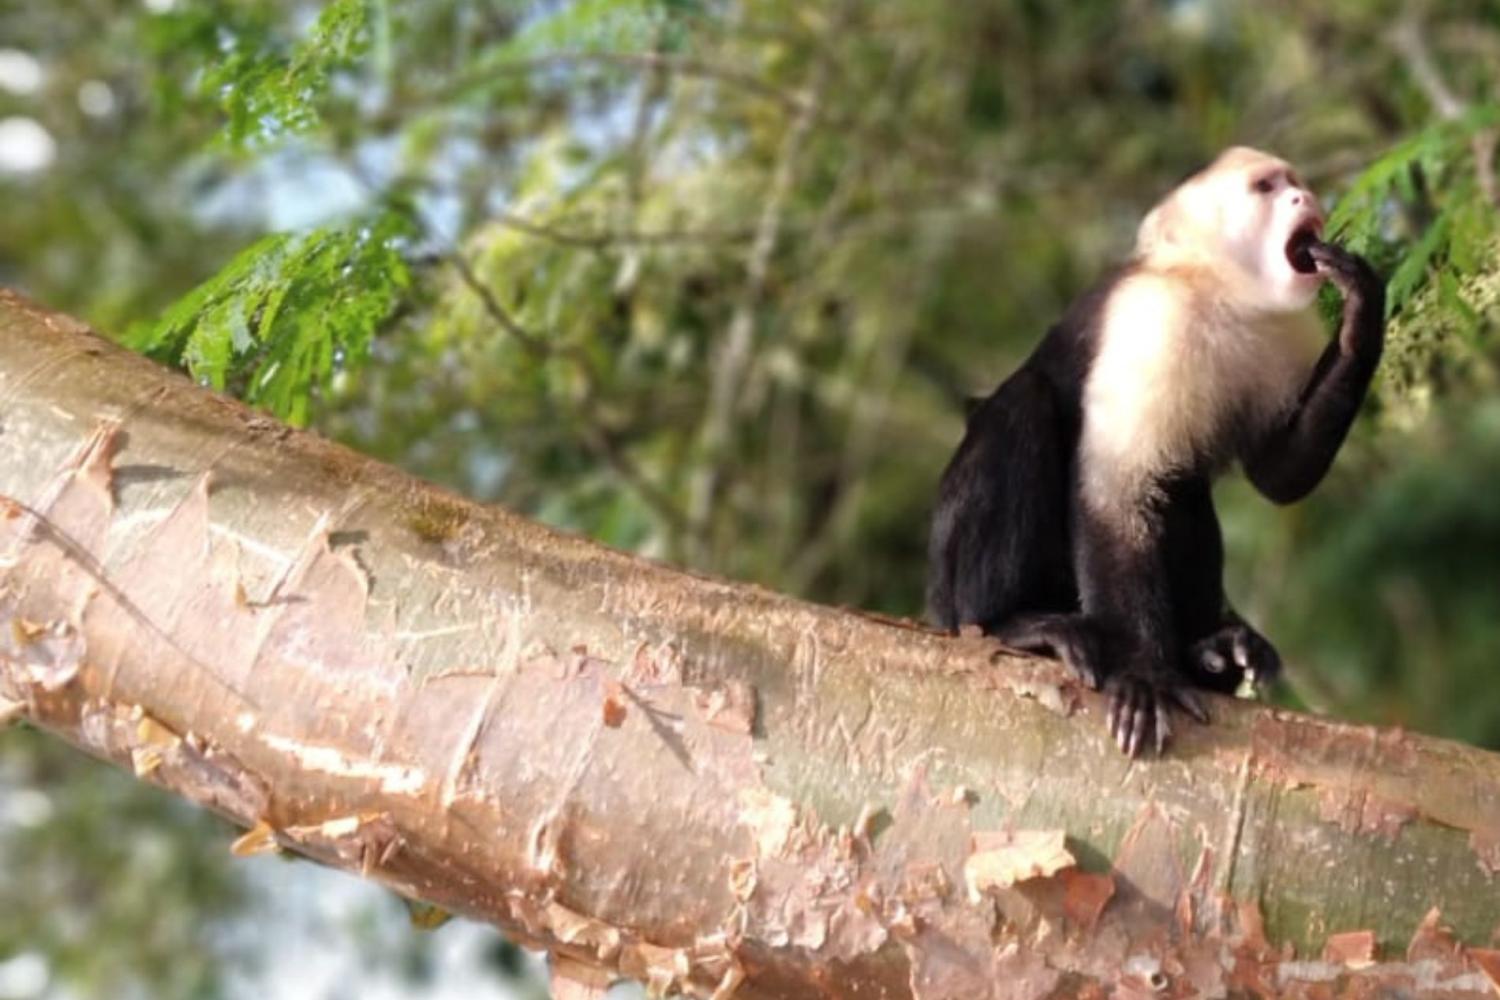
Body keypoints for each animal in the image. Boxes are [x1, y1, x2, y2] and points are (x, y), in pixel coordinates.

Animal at [926, 147, 1385, 756]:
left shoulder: (1288, 332)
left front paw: (1363, 317)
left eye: (1294, 182)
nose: (1303, 198)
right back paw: (1008, 624)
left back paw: (1211, 652)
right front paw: (1145, 674)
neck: (1217, 293)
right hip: (949, 579)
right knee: (1028, 403)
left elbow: (1280, 477)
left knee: (1182, 484)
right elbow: (1113, 495)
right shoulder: (1151, 322)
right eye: (1266, 187)